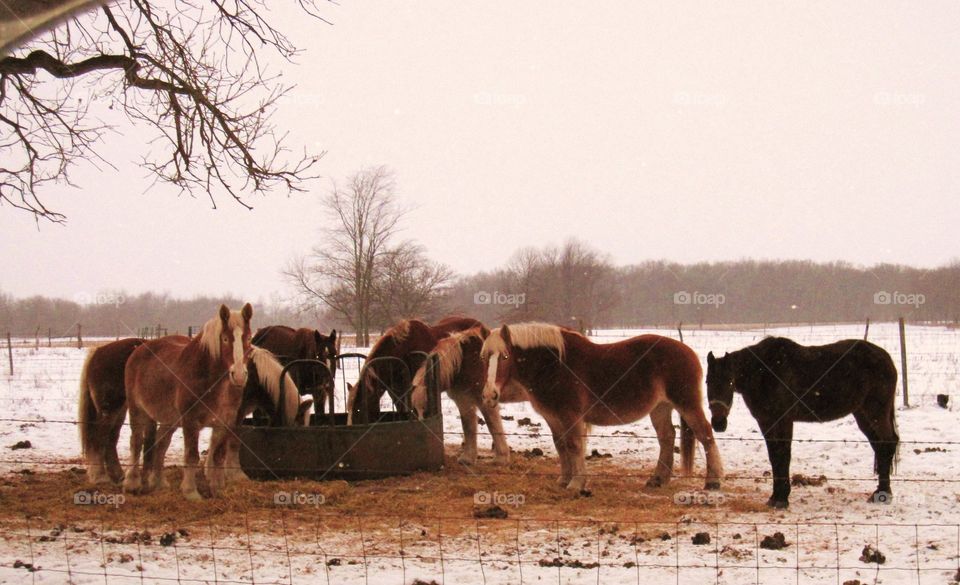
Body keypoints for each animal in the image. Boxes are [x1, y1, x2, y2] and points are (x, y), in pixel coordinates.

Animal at [78, 337, 145, 484]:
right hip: (111, 408)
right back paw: (100, 476)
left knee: (111, 438)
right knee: (99, 437)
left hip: (120, 410)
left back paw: (117, 474)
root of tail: (98, 351)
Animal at [123, 304, 254, 500]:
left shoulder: (225, 421)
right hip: (137, 410)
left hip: (170, 420)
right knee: (136, 442)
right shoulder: (191, 420)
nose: (238, 375)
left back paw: (159, 483)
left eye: (248, 338)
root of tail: (138, 350)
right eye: (224, 339)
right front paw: (191, 492)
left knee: (161, 443)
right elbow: (192, 456)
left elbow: (218, 456)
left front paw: (217, 489)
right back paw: (132, 483)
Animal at [410, 327, 527, 465]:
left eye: (427, 411)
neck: (464, 362)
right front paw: (468, 458)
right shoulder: (463, 401)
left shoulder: (485, 402)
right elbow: (468, 427)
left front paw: (501, 458)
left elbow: (493, 426)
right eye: (414, 410)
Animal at [481, 323, 723, 493]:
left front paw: (577, 483)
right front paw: (564, 480)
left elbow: (575, 446)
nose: (489, 395)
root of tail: (688, 351)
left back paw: (713, 481)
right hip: (660, 408)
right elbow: (561, 446)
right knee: (667, 437)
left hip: (687, 404)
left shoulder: (571, 416)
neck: (554, 365)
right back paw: (658, 479)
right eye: (483, 357)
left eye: (505, 356)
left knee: (705, 435)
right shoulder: (552, 417)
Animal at [706, 337, 899, 508]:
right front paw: (775, 497)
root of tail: (886, 358)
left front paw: (781, 499)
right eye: (708, 382)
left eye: (730, 381)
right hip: (862, 414)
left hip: (875, 412)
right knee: (879, 446)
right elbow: (774, 456)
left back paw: (883, 494)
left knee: (887, 444)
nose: (719, 423)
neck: (764, 372)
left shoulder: (784, 420)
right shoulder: (766, 422)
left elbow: (783, 455)